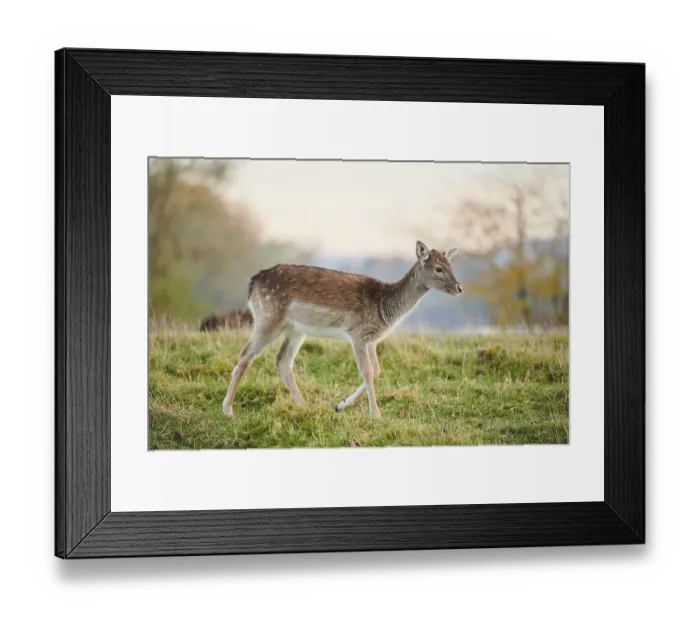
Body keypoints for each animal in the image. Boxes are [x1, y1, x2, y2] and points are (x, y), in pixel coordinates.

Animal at [222, 241, 462, 420]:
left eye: (451, 265)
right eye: (439, 269)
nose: (459, 287)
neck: (384, 308)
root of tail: (252, 283)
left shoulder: (371, 339)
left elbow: (376, 371)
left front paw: (340, 405)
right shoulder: (357, 334)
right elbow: (367, 372)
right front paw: (376, 415)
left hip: (295, 329)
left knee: (282, 360)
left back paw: (304, 406)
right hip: (268, 317)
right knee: (245, 355)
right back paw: (228, 409)